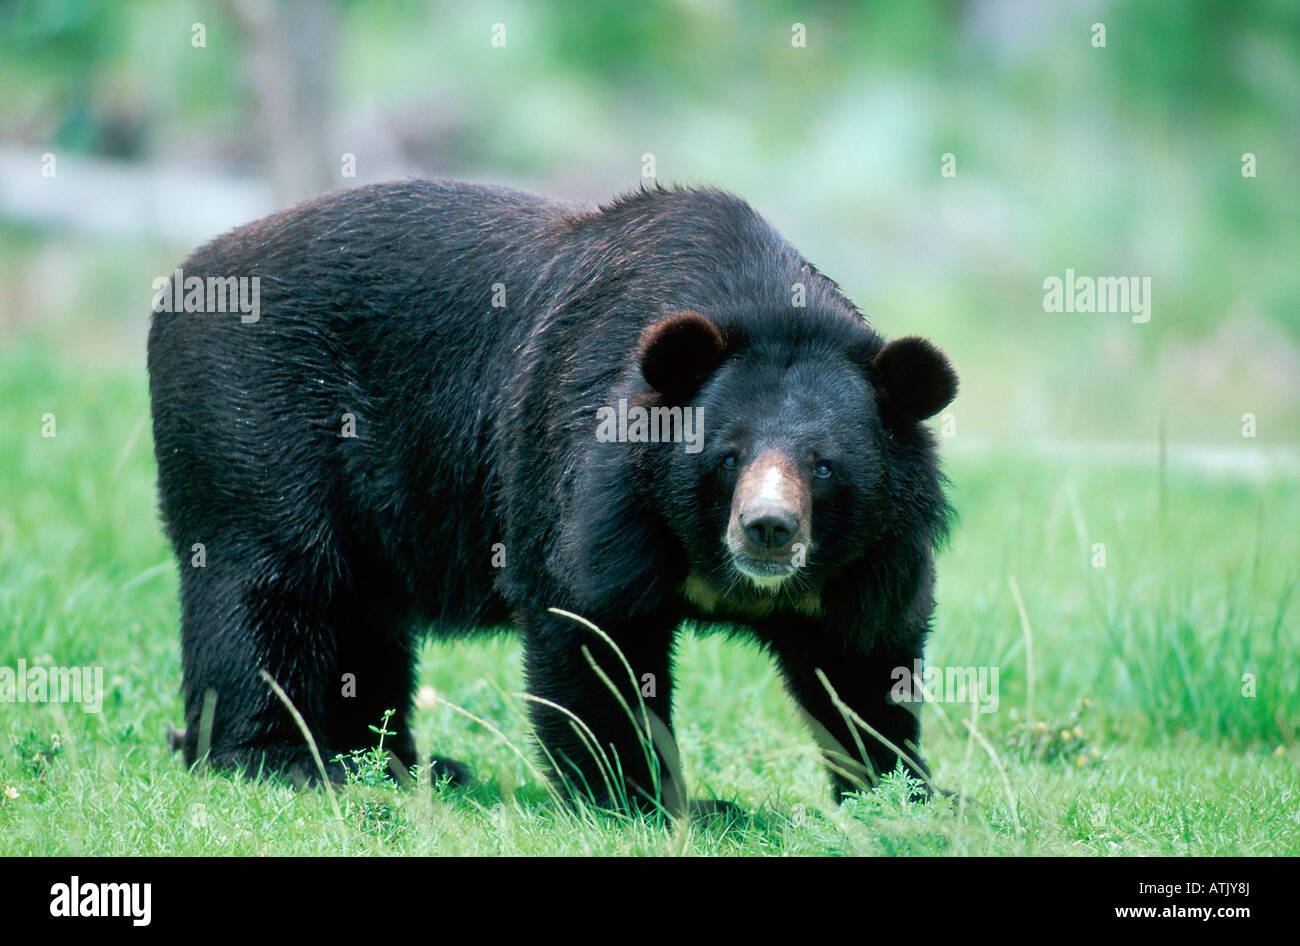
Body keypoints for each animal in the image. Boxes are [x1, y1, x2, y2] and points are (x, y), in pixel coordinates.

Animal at [147, 179, 961, 810]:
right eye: (727, 457)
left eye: (824, 466)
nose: (767, 530)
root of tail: (183, 281)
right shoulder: (596, 483)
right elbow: (591, 624)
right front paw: (643, 798)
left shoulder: (870, 554)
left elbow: (863, 658)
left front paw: (906, 794)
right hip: (255, 415)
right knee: (270, 584)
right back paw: (280, 761)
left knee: (362, 615)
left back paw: (398, 764)